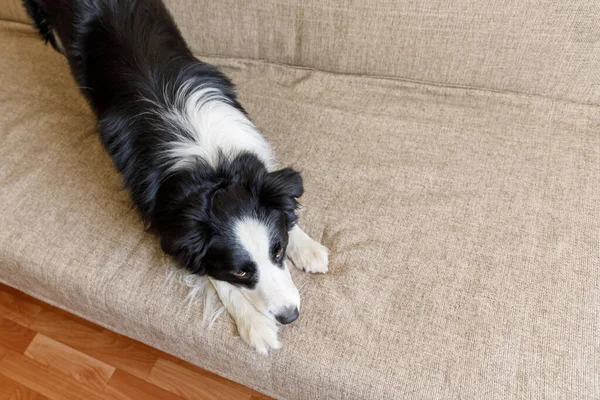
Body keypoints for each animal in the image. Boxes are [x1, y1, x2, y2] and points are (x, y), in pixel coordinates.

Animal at [24, 0, 328, 354]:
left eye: (277, 252)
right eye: (239, 271)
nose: (289, 316)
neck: (211, 167)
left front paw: (307, 247)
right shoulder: (168, 228)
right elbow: (211, 275)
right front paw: (256, 326)